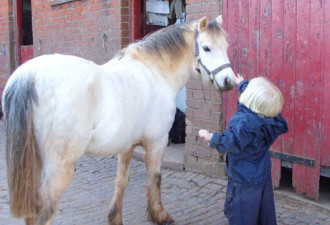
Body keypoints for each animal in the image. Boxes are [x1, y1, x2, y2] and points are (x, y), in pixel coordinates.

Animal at [1, 14, 235, 224]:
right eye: (206, 48)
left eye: (225, 46)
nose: (229, 81)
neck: (155, 72)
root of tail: (27, 76)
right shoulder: (157, 141)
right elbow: (155, 177)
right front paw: (160, 215)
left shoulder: (127, 145)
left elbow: (121, 181)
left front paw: (115, 218)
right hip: (60, 166)